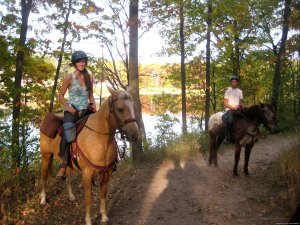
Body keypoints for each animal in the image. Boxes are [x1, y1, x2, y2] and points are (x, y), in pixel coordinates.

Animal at [39, 87, 141, 225]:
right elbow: (88, 199)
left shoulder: (107, 172)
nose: (135, 135)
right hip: (46, 156)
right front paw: (88, 220)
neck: (100, 138)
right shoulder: (87, 174)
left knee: (68, 177)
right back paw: (43, 199)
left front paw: (104, 216)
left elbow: (103, 194)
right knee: (44, 176)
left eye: (133, 107)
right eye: (120, 109)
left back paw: (71, 196)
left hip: (66, 162)